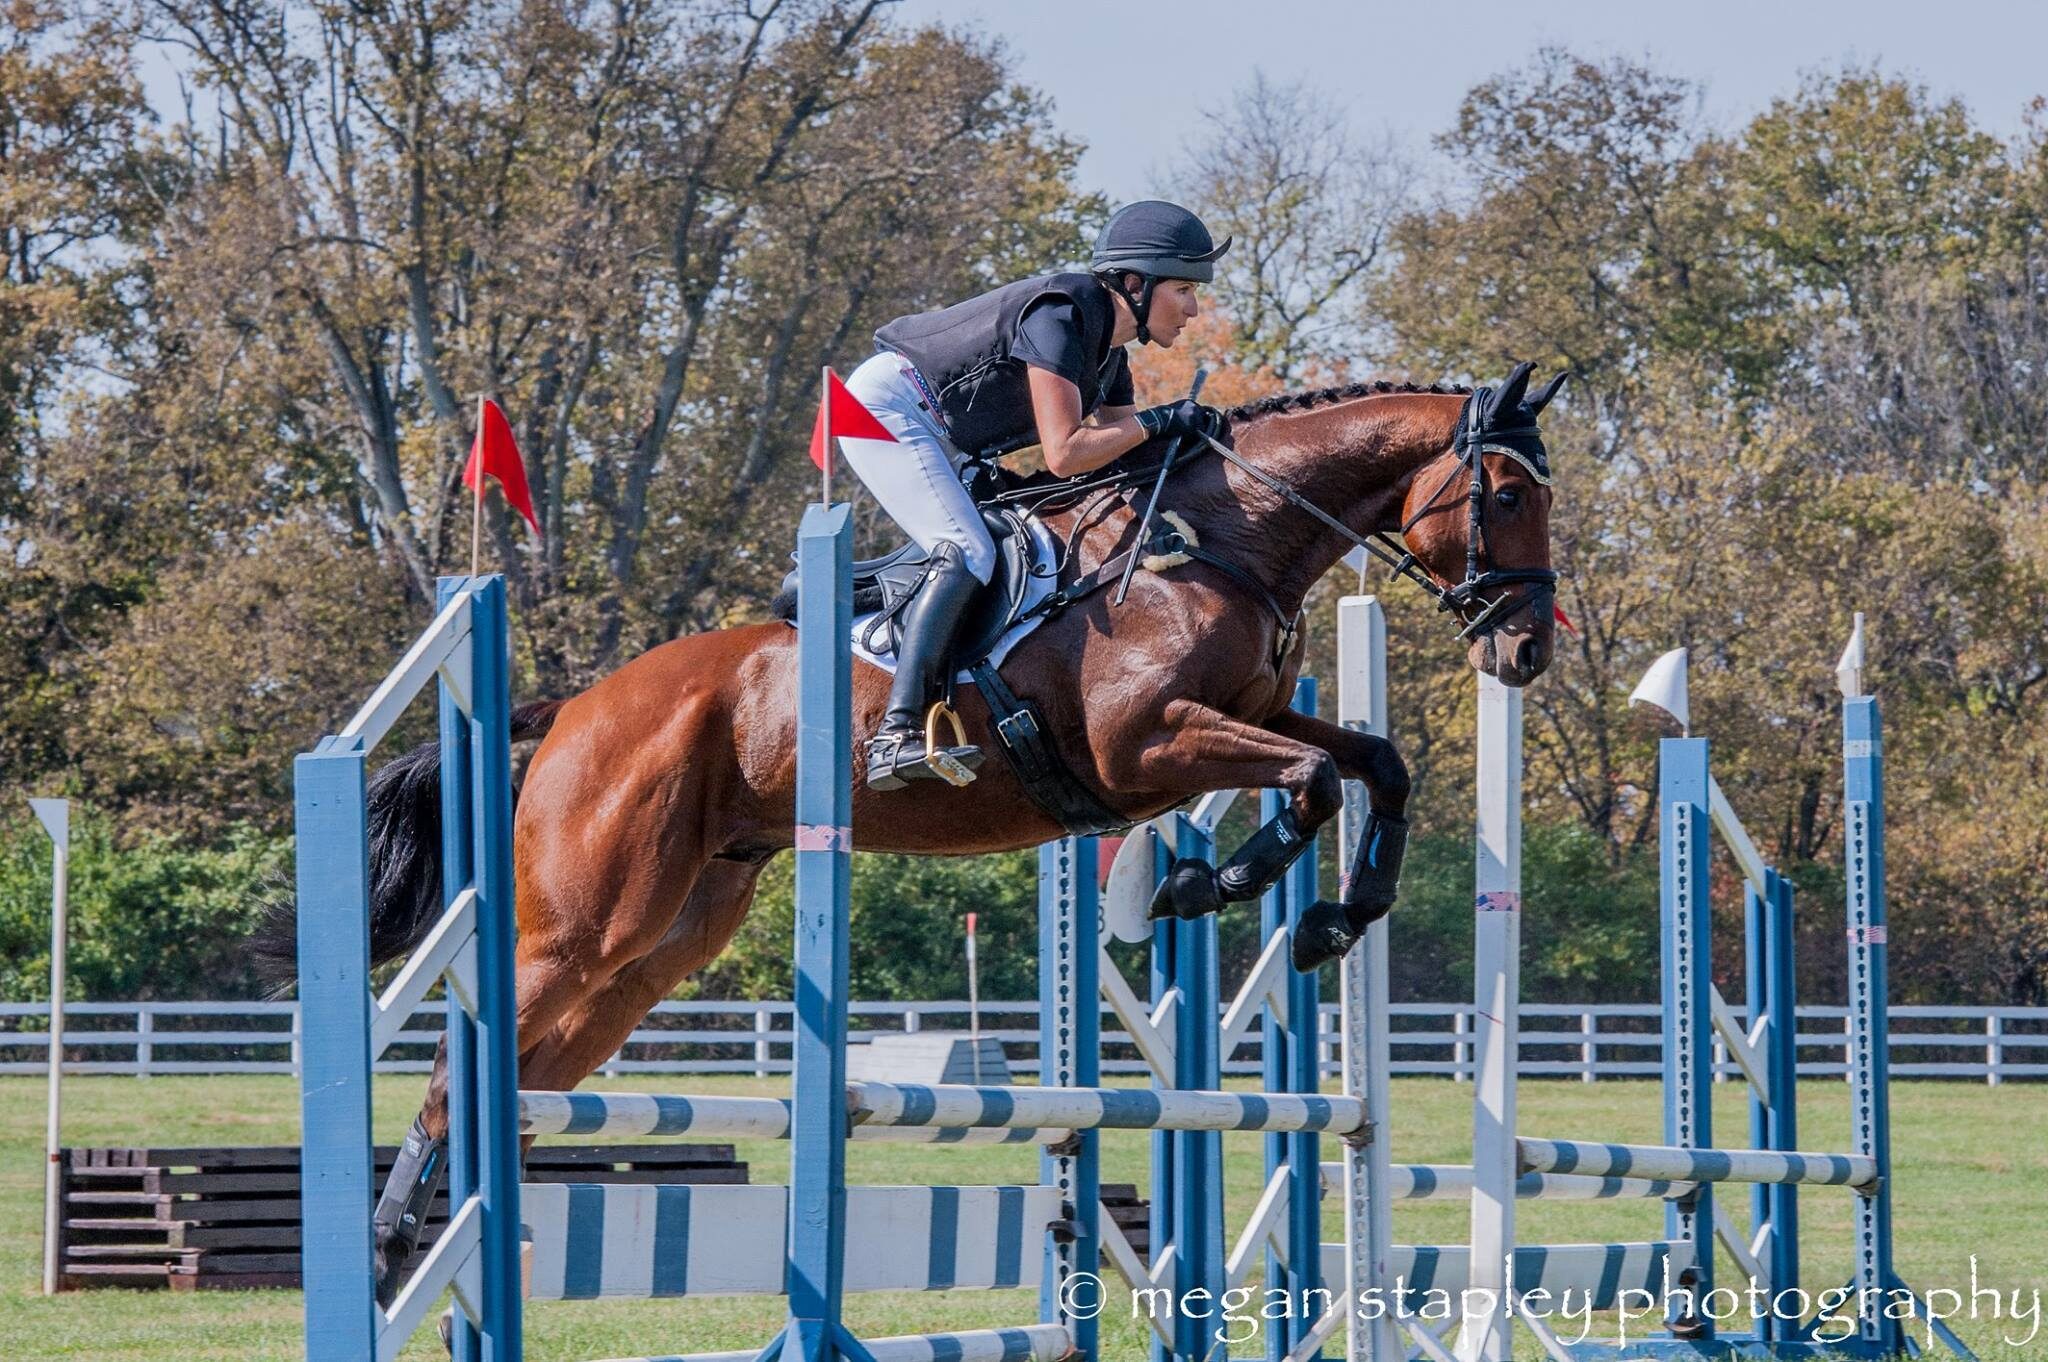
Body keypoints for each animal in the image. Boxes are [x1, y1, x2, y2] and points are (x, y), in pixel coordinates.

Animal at [257, 361, 1563, 1300]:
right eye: (1505, 496)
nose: (1522, 651)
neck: (1216, 541)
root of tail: (574, 704)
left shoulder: (1241, 718)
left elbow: (1371, 764)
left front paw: (1337, 917)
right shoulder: (1146, 750)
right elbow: (1312, 780)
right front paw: (1210, 886)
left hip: (657, 946)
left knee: (521, 1074)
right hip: (582, 925)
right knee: (452, 1074)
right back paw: (390, 1251)